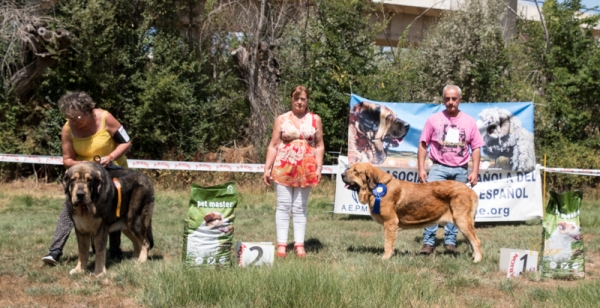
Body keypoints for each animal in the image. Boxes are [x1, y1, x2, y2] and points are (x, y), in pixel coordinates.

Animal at [342, 162, 482, 262]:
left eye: (355, 171)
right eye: (350, 168)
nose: (342, 175)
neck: (377, 187)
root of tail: (471, 191)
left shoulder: (390, 222)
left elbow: (388, 243)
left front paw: (385, 258)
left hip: (462, 221)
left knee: (476, 241)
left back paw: (477, 260)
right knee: (472, 241)